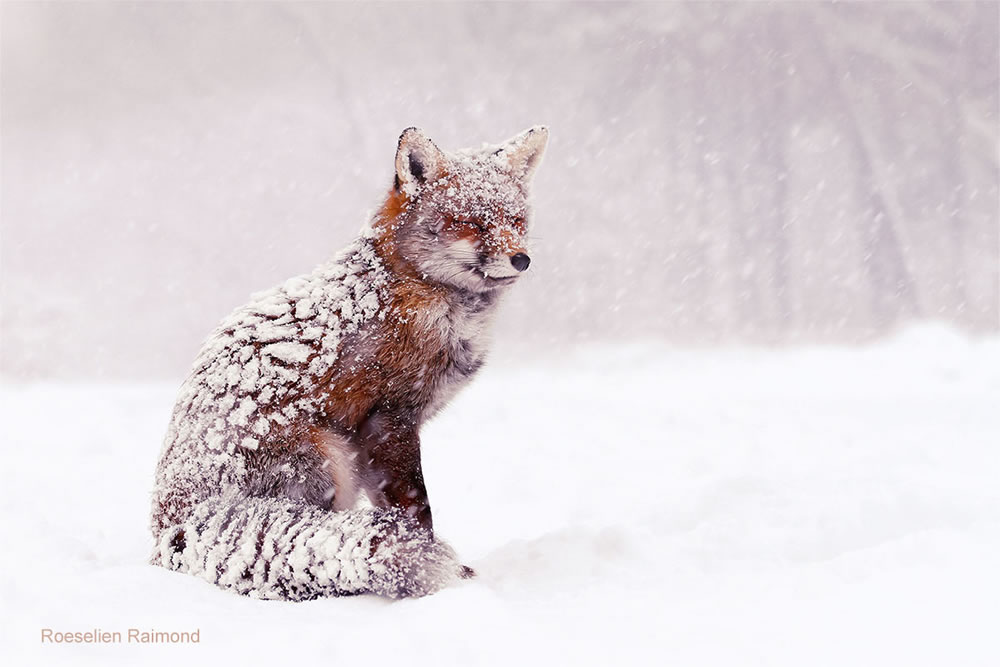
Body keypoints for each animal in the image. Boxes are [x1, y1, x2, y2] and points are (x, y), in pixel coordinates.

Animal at [152, 125, 552, 600]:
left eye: (516, 222)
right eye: (471, 223)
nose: (521, 259)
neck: (418, 292)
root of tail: (172, 532)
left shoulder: (382, 441)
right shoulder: (389, 419)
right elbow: (418, 511)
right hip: (329, 458)